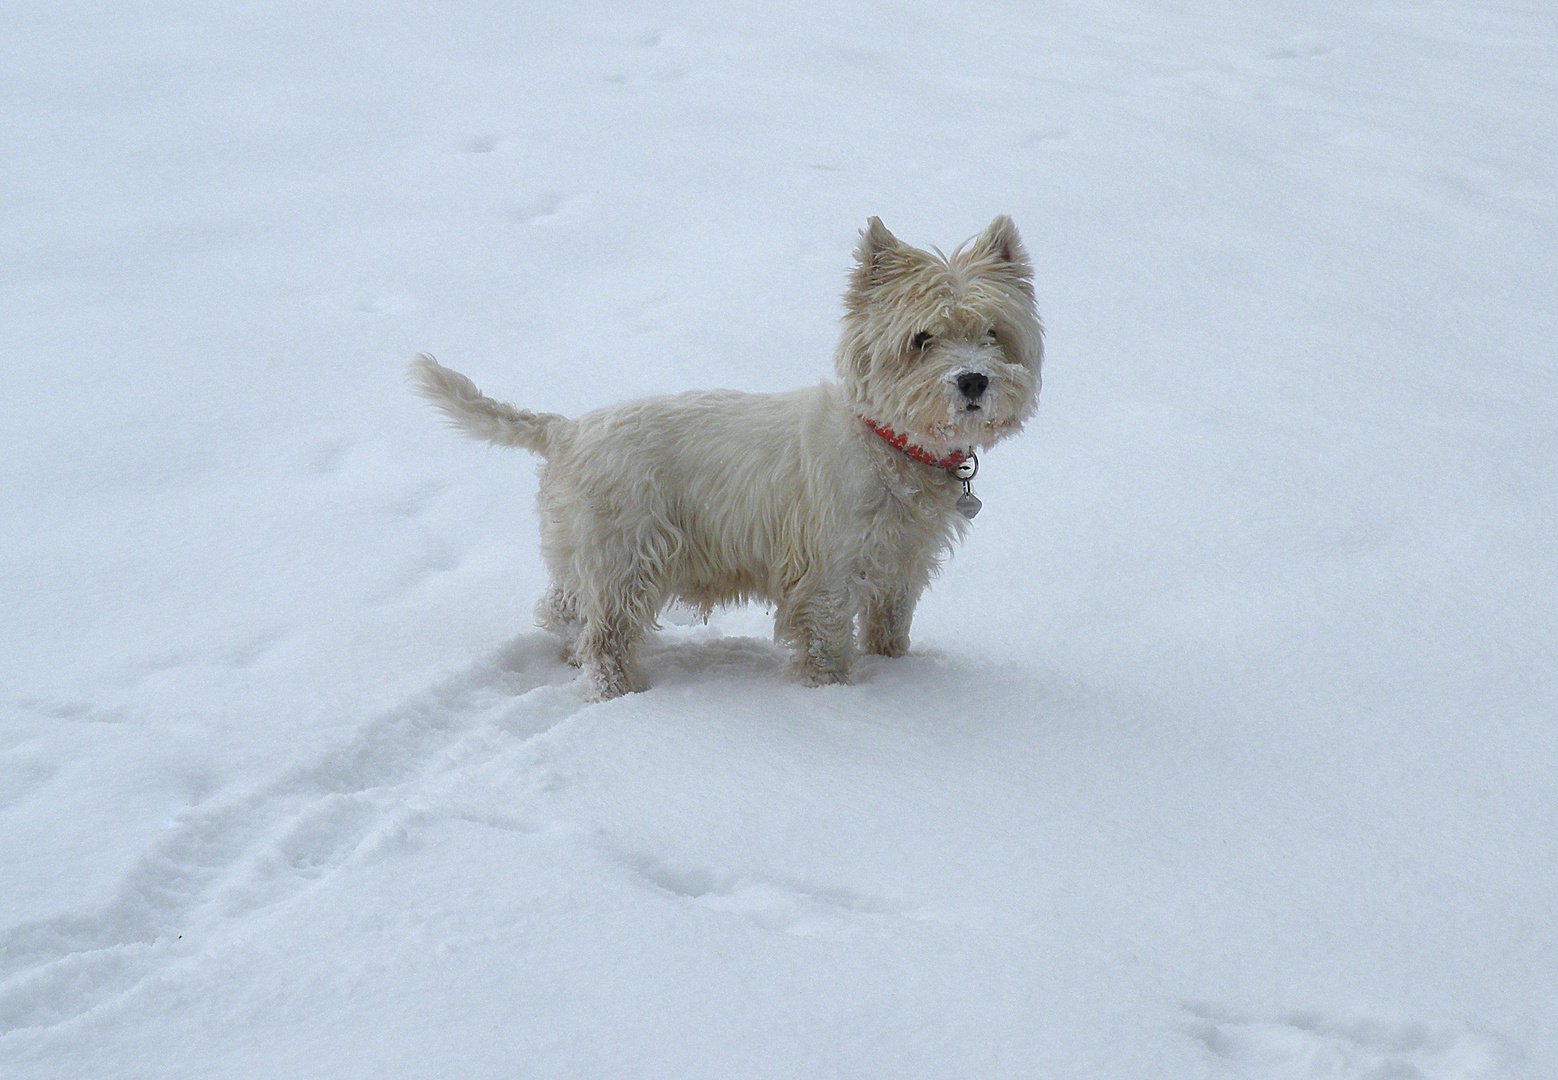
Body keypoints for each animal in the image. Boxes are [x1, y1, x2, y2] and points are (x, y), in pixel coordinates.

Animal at [414, 216, 1046, 698]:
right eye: (921, 339)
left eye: (994, 333)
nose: (973, 380)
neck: (888, 442)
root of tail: (566, 431)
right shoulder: (828, 571)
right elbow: (824, 643)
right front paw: (833, 697)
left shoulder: (901, 565)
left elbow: (890, 628)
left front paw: (895, 671)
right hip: (625, 554)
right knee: (606, 637)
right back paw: (622, 694)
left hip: (584, 550)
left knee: (562, 607)